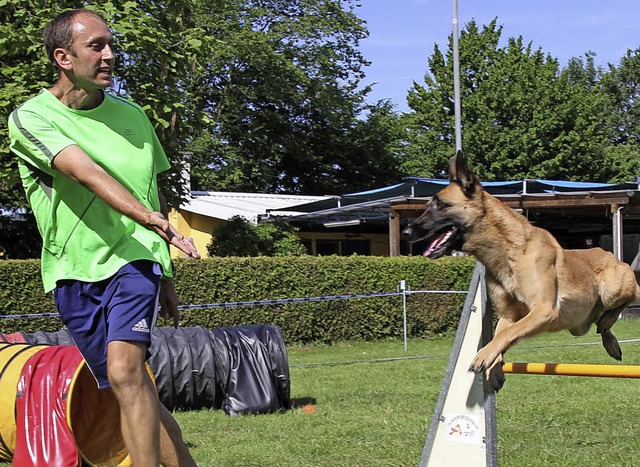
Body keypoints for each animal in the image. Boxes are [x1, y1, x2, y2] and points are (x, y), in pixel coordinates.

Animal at [402, 151, 640, 392]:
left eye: (439, 205)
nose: (406, 231)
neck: (510, 252)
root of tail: (609, 254)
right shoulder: (509, 315)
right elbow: (501, 336)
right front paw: (494, 368)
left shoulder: (543, 310)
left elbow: (507, 334)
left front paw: (484, 356)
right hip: (580, 323)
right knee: (601, 325)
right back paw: (609, 337)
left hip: (612, 289)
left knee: (632, 295)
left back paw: (610, 320)